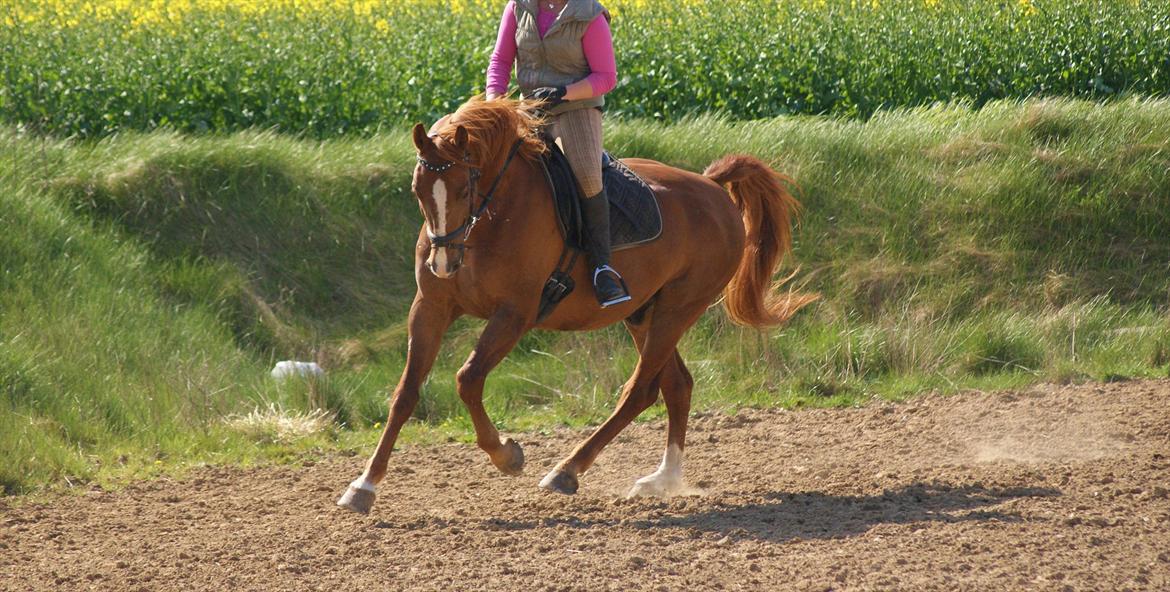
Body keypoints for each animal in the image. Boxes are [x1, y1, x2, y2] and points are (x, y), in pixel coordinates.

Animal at [336, 98, 814, 512]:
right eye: (418, 189)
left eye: (462, 186)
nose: (443, 264)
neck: (489, 220)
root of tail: (712, 187)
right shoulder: (430, 308)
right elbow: (405, 393)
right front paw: (364, 486)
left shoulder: (514, 314)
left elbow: (467, 379)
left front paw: (507, 455)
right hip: (644, 314)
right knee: (676, 385)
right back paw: (663, 479)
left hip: (678, 309)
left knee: (640, 390)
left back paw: (567, 471)